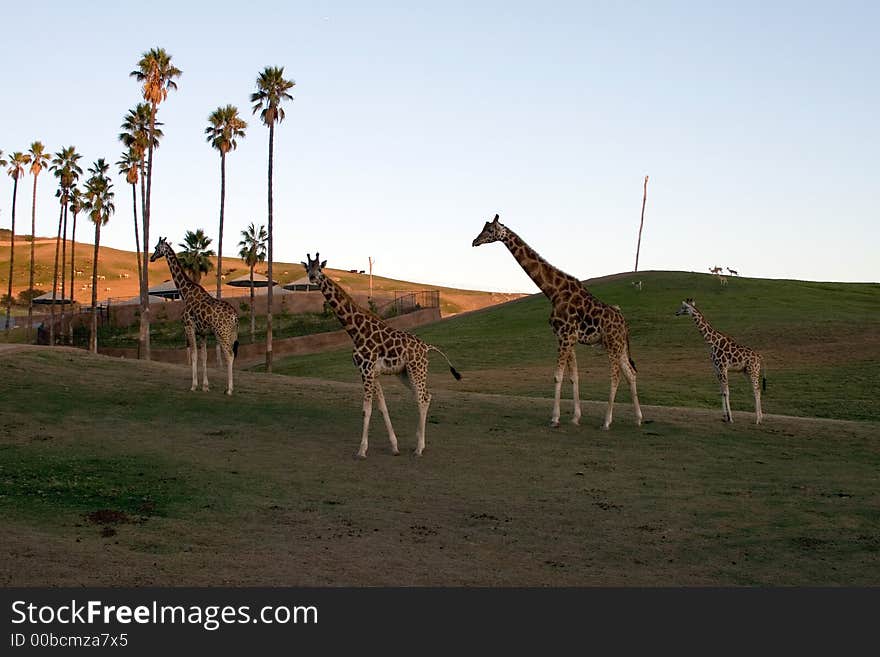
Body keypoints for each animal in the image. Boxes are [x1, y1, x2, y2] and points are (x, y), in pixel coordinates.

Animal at [150, 238, 239, 392]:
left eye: (156, 247)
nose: (151, 258)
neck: (185, 293)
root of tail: (234, 317)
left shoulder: (188, 327)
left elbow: (194, 355)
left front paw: (194, 385)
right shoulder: (202, 333)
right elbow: (204, 356)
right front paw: (205, 386)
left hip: (221, 333)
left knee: (229, 354)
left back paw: (229, 389)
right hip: (231, 333)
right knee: (232, 354)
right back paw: (228, 387)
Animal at [302, 254, 460, 458]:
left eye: (320, 268)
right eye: (307, 268)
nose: (312, 277)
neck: (355, 331)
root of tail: (427, 347)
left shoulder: (366, 370)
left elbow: (366, 410)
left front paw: (361, 450)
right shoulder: (373, 373)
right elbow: (382, 407)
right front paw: (394, 446)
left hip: (417, 369)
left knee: (423, 398)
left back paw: (419, 448)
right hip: (404, 373)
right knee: (425, 396)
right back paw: (419, 443)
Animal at [470, 214, 644, 430]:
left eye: (489, 230)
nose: (474, 241)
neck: (553, 292)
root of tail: (624, 324)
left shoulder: (565, 336)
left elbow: (557, 375)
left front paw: (554, 418)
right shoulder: (568, 338)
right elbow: (574, 376)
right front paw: (575, 417)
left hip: (612, 343)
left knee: (616, 375)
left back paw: (606, 421)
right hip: (618, 345)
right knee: (631, 373)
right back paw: (638, 419)